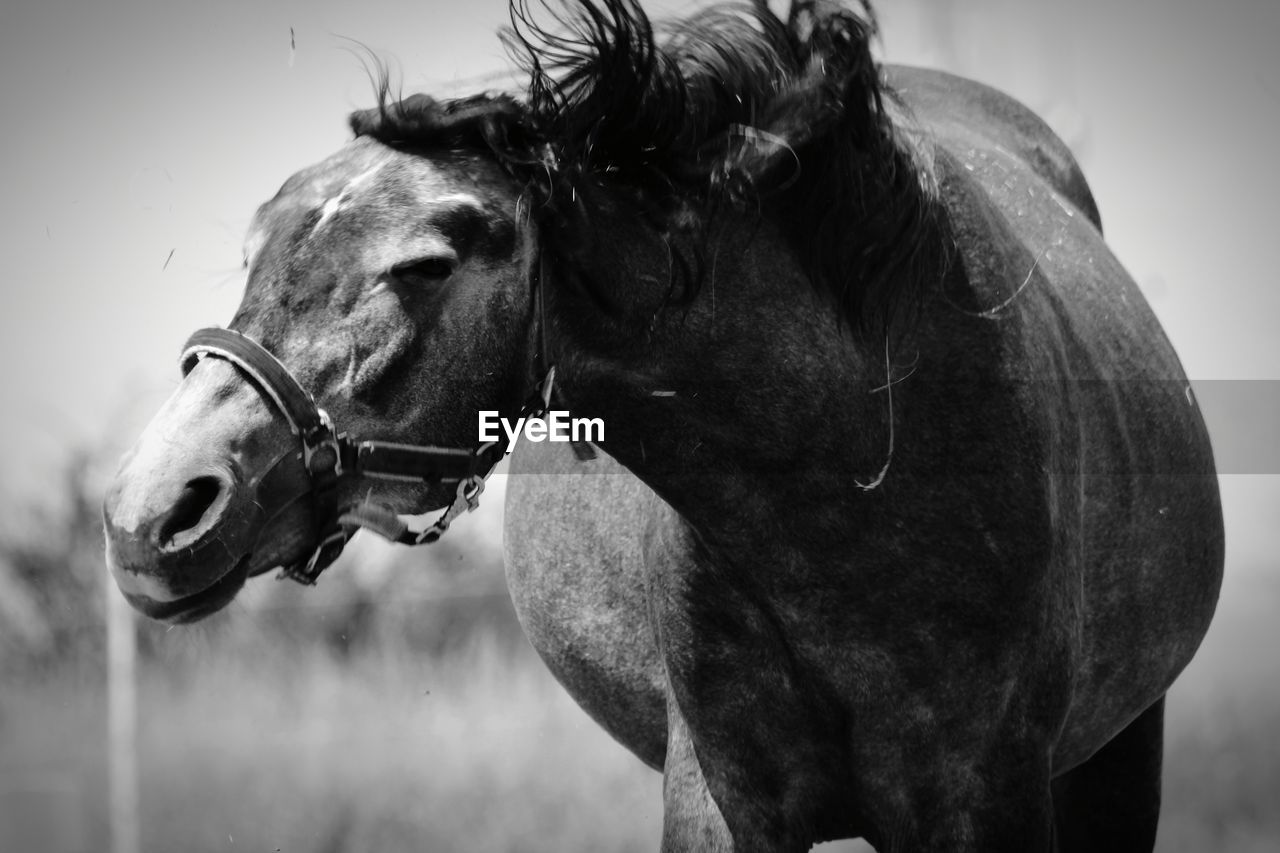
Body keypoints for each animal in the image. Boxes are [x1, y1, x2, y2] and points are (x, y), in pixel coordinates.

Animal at [99, 3, 1218, 845]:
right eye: (257, 246)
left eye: (424, 265)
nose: (149, 515)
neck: (864, 493)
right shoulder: (723, 797)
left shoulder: (992, 795)